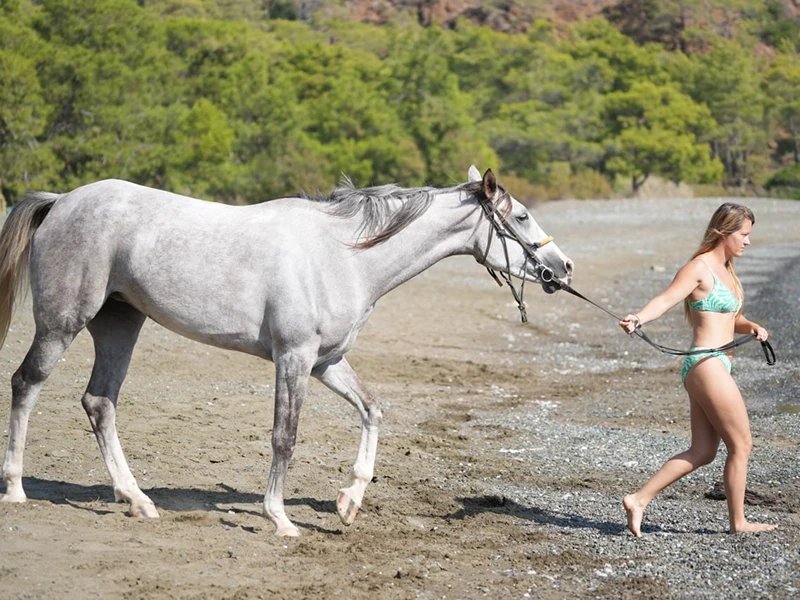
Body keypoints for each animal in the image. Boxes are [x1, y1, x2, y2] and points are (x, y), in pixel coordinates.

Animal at [0, 166, 573, 536]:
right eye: (522, 217)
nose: (562, 269)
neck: (344, 254)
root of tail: (62, 200)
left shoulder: (326, 362)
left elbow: (371, 410)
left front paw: (348, 503)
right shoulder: (293, 357)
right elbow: (285, 436)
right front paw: (279, 518)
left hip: (120, 324)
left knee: (99, 403)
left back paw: (138, 501)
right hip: (63, 323)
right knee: (26, 384)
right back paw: (16, 490)